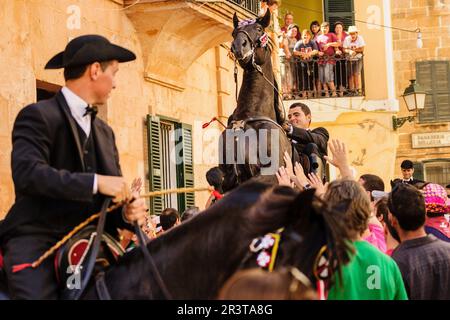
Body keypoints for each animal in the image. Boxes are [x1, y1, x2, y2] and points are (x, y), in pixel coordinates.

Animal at [219, 11, 296, 192]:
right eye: (234, 32)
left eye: (259, 28)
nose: (239, 45)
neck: (251, 113)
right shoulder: (228, 181)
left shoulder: (269, 174)